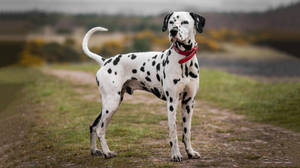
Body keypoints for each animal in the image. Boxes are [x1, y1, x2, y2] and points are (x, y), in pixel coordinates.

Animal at [81, 11, 205, 162]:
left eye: (185, 22)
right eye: (171, 22)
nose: (173, 31)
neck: (184, 61)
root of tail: (105, 61)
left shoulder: (188, 102)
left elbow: (187, 132)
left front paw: (190, 152)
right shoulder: (172, 102)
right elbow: (173, 132)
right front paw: (175, 154)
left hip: (110, 104)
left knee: (93, 126)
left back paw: (94, 150)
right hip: (111, 104)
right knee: (100, 129)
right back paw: (107, 152)